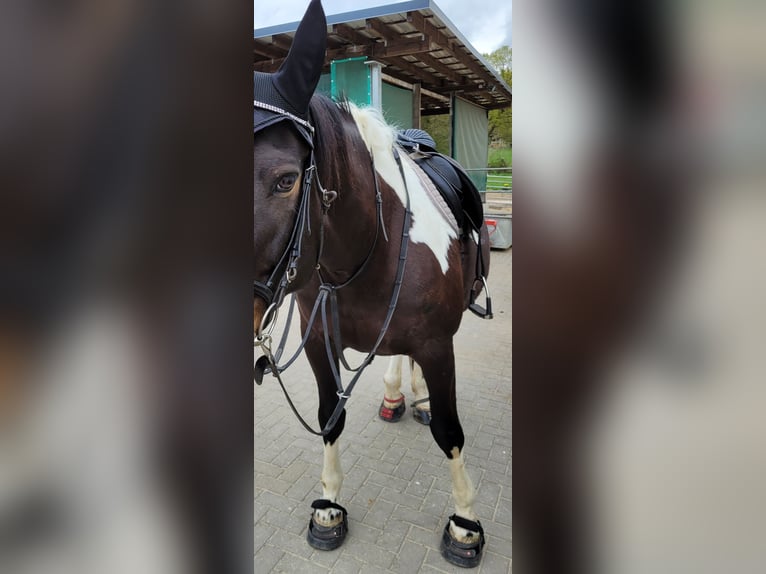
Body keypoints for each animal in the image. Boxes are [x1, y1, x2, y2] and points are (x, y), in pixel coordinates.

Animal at [253, 0, 491, 567]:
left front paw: (465, 522)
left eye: (286, 180)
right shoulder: (318, 340)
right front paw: (328, 505)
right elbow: (328, 417)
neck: (364, 252)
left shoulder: (438, 344)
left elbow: (450, 431)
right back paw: (397, 395)